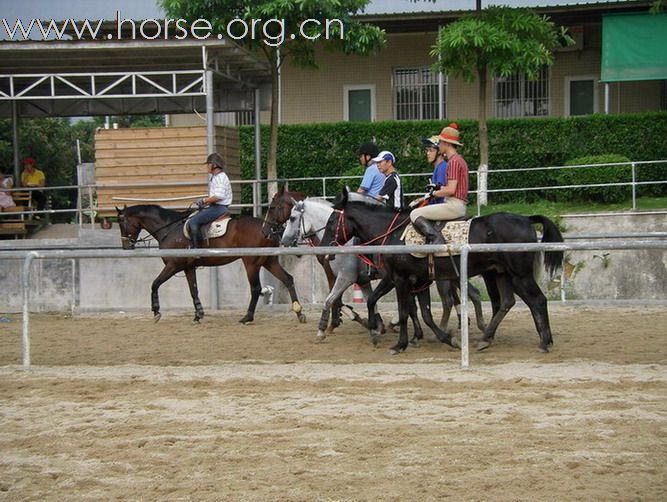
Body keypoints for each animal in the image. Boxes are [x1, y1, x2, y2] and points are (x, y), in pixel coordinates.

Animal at [117, 205, 308, 326]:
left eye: (121, 223)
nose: (126, 246)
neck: (170, 230)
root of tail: (267, 228)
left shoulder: (173, 265)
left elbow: (155, 284)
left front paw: (156, 311)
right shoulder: (188, 268)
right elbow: (193, 290)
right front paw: (198, 315)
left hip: (251, 262)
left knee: (256, 288)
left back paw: (247, 317)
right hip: (268, 261)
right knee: (288, 279)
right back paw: (299, 313)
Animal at [324, 186, 564, 354]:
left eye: (333, 220)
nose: (327, 248)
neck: (392, 234)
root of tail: (525, 219)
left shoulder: (399, 279)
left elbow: (403, 312)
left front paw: (399, 344)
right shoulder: (414, 280)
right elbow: (419, 312)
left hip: (519, 275)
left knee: (537, 300)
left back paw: (544, 341)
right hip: (501, 273)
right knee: (507, 302)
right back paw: (486, 338)